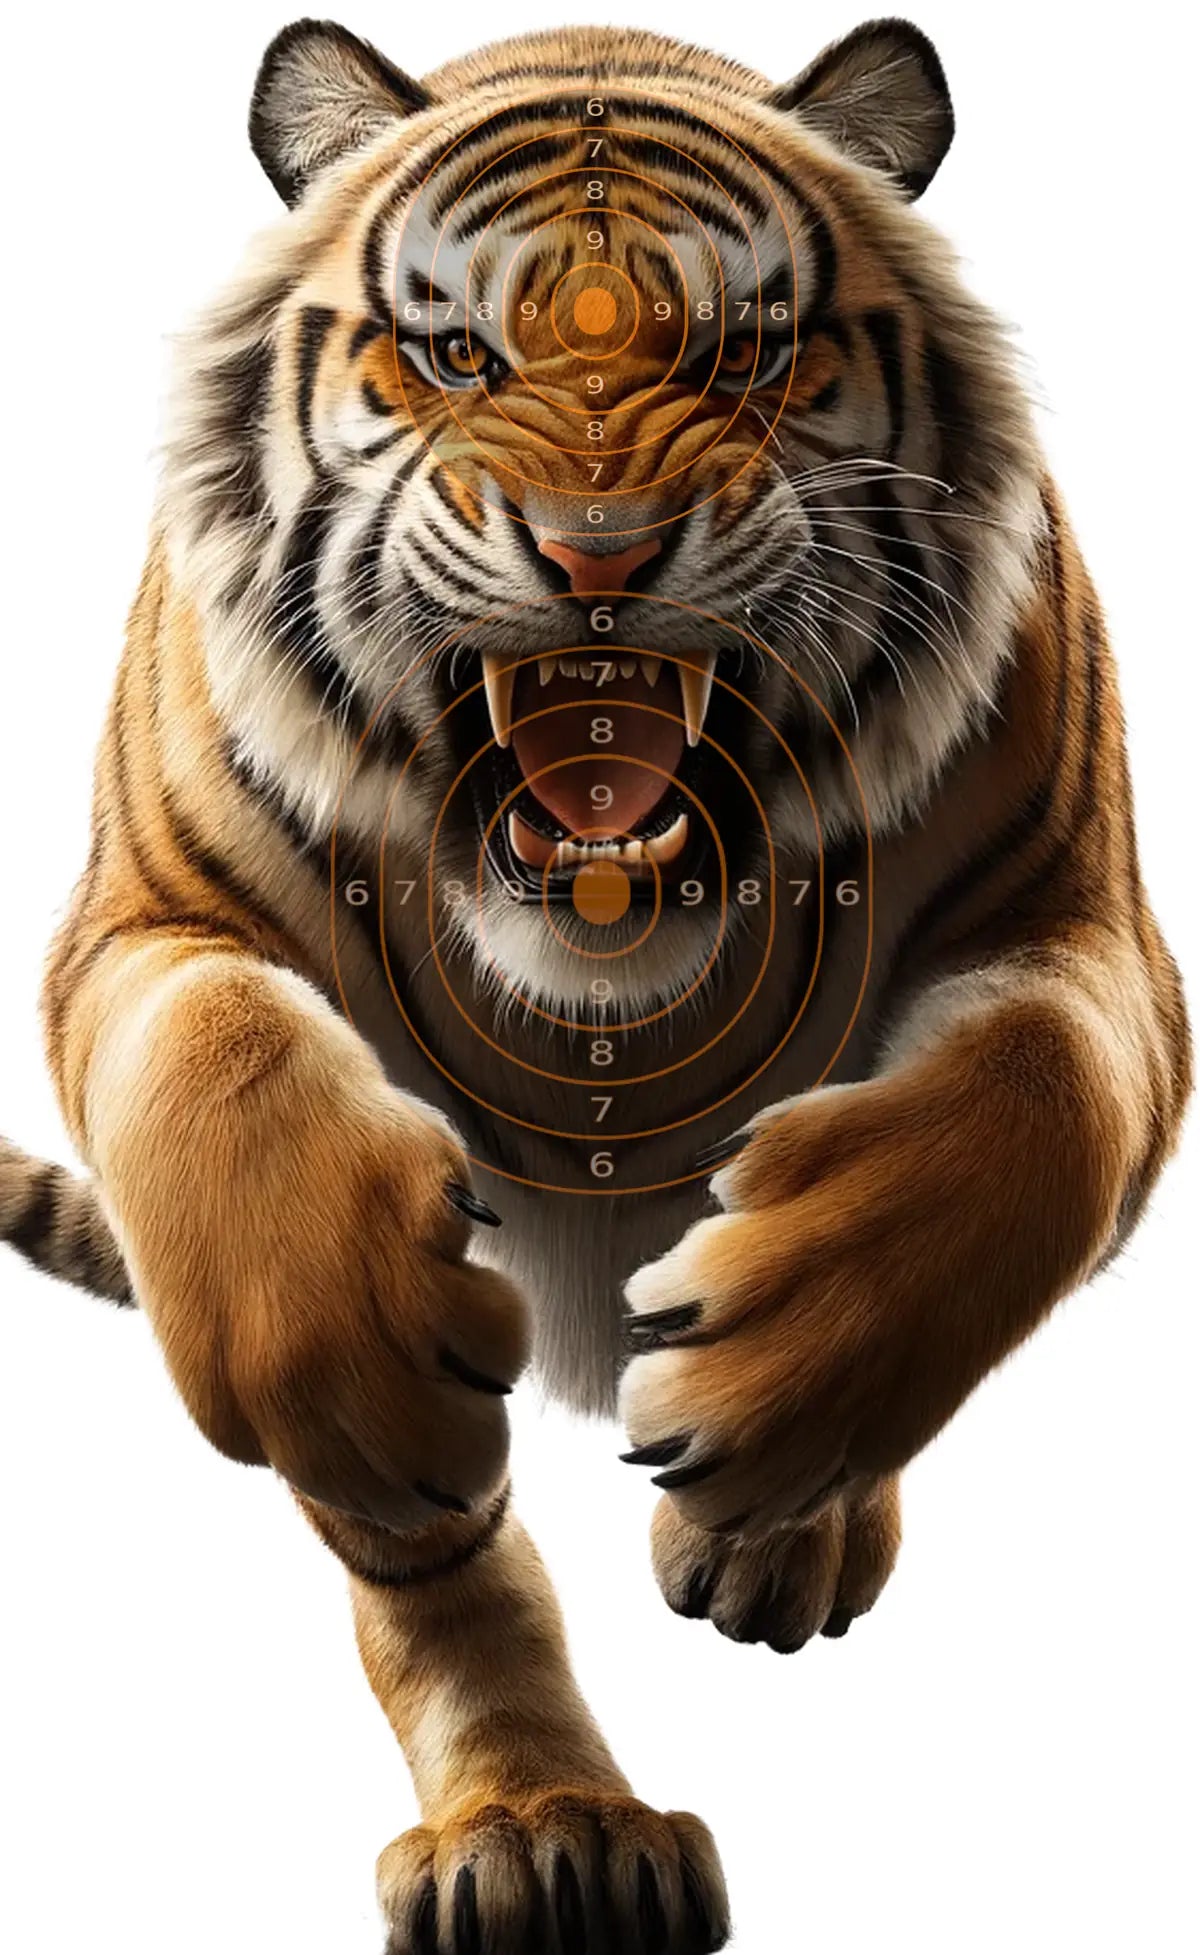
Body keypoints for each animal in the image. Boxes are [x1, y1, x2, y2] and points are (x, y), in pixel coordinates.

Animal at [0, 14, 1190, 1952]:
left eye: (744, 352)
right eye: (456, 352)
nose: (599, 553)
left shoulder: (1091, 928)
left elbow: (1034, 1111)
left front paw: (773, 1377)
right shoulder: (145, 917)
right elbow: (221, 1069)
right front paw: (366, 1380)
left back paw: (766, 1526)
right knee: (440, 1577)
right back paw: (545, 1829)